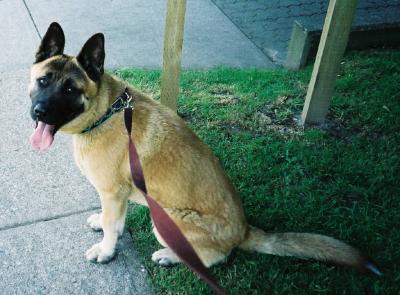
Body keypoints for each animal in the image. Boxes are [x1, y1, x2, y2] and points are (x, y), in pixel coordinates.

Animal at [28, 23, 382, 278]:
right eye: (44, 81)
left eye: (70, 89)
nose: (39, 113)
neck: (105, 111)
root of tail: (244, 231)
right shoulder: (117, 195)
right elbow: (113, 220)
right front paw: (102, 223)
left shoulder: (113, 192)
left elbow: (114, 229)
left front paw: (105, 250)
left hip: (166, 219)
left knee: (215, 258)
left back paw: (170, 256)